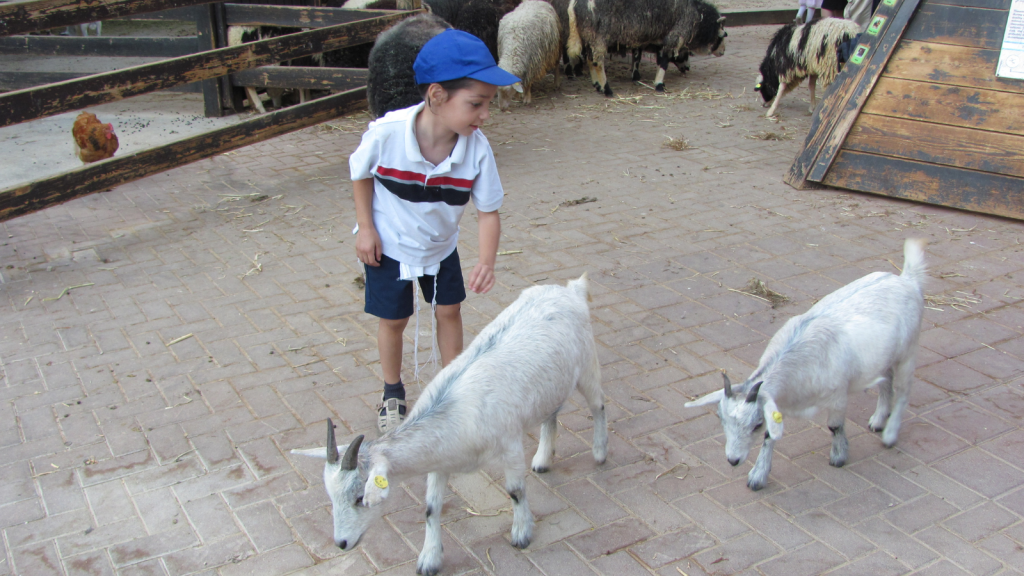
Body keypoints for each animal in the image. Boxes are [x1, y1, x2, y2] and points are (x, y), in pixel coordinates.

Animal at [290, 272, 606, 573]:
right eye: (331, 497)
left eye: (359, 498)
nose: (341, 543)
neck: (455, 412)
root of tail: (571, 289)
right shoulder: (439, 462)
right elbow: (431, 509)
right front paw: (429, 560)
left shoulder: (510, 443)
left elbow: (515, 492)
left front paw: (521, 534)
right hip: (552, 382)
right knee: (551, 412)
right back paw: (542, 459)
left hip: (587, 365)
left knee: (598, 404)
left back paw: (600, 453)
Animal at [688, 237, 929, 487]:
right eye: (720, 418)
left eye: (756, 424)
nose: (733, 460)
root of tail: (906, 280)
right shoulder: (778, 401)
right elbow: (771, 435)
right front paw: (758, 475)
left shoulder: (838, 395)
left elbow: (834, 426)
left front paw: (839, 456)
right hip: (883, 357)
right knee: (886, 380)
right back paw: (879, 419)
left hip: (909, 352)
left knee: (903, 392)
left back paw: (890, 434)